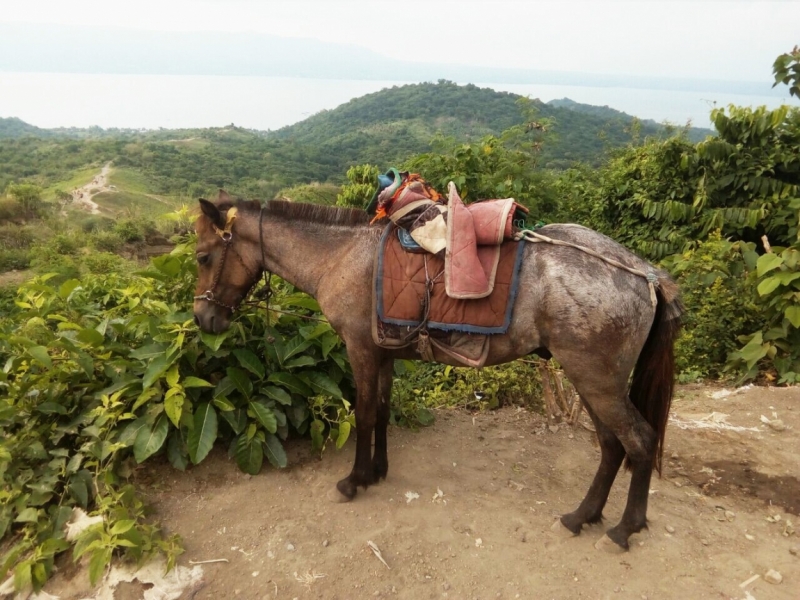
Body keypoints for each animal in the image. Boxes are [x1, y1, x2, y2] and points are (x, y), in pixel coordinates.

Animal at [192, 192, 680, 552]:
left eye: (201, 257)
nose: (202, 319)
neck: (342, 256)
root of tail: (645, 273)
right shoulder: (384, 353)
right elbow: (382, 411)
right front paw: (378, 470)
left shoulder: (360, 350)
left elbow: (364, 414)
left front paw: (354, 480)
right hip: (593, 382)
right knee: (612, 446)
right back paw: (584, 516)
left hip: (597, 382)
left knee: (638, 440)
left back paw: (624, 528)